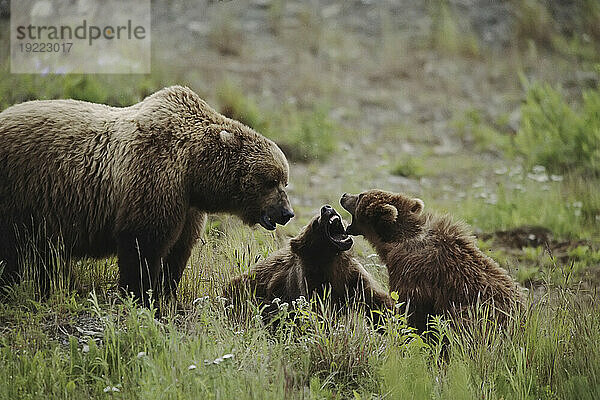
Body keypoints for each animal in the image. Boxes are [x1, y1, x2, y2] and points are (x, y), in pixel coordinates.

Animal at [0, 85, 296, 304]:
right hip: (20, 192)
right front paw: (140, 295)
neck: (194, 170)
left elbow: (178, 251)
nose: (287, 213)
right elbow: (143, 243)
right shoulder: (154, 177)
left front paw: (166, 292)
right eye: (270, 181)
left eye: (284, 181)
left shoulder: (187, 206)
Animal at [225, 205, 394, 324]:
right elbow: (318, 310)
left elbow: (377, 301)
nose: (326, 208)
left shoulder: (353, 278)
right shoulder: (313, 281)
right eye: (314, 223)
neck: (331, 262)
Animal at [342, 191, 524, 332]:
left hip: (480, 313)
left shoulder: (412, 271)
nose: (344, 196)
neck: (393, 242)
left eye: (360, 196)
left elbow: (413, 310)